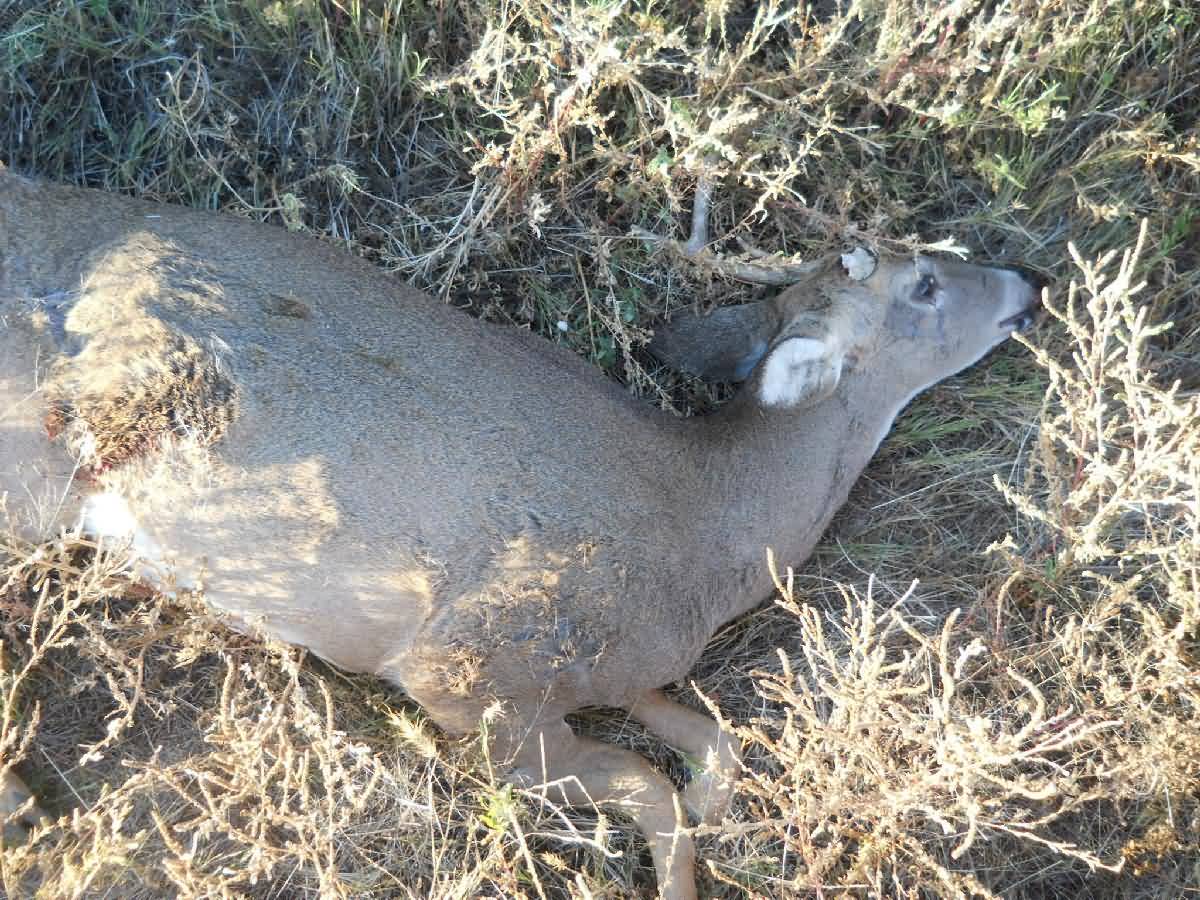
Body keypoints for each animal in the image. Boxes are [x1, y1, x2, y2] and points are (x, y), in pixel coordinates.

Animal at [0, 163, 1038, 898]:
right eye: (926, 283)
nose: (1028, 279)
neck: (710, 526)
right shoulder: (468, 672)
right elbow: (648, 787)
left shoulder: (625, 667)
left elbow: (711, 737)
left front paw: (720, 801)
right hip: (37, 464)